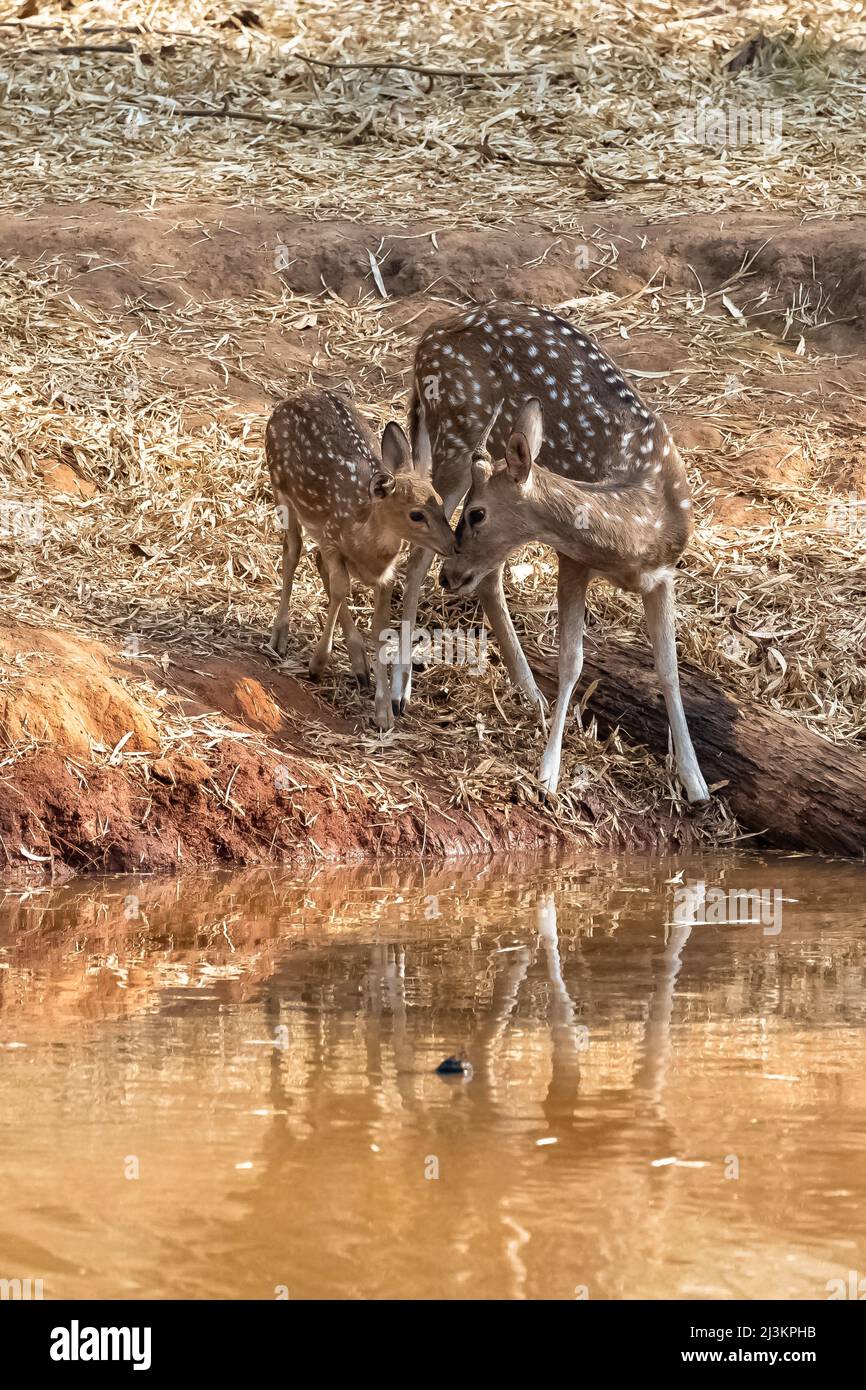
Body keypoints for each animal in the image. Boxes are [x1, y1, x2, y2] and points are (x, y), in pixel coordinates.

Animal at [264, 391, 453, 733]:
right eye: (416, 514)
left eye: (442, 503)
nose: (452, 544)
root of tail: (290, 399)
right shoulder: (330, 537)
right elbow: (340, 589)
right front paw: (317, 664)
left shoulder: (385, 575)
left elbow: (380, 625)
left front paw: (384, 711)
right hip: (280, 487)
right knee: (293, 551)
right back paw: (279, 637)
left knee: (313, 560)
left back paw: (359, 665)